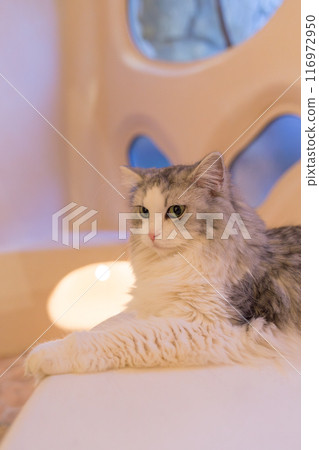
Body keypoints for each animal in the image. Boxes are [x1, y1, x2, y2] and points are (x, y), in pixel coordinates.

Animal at [26, 153, 302, 378]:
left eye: (176, 210)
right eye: (144, 211)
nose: (151, 235)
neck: (175, 264)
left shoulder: (210, 327)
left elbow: (113, 337)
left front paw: (41, 356)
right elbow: (121, 325)